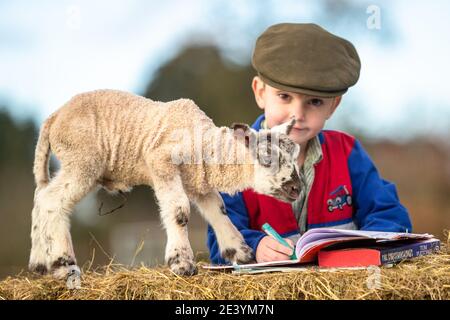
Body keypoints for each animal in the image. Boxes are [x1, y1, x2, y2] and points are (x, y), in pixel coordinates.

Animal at [29, 89, 304, 284]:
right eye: (267, 158)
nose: (297, 188)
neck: (203, 143)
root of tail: (54, 118)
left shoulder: (198, 180)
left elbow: (219, 210)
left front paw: (240, 253)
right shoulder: (161, 161)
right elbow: (179, 211)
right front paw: (182, 263)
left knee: (40, 199)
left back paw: (39, 264)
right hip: (82, 159)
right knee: (52, 201)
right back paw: (63, 265)